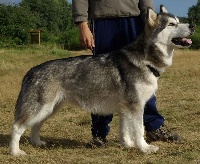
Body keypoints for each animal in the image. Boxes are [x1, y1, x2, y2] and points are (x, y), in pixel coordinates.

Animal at [9, 5, 195, 156]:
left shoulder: (125, 108)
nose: (192, 26)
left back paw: (37, 142)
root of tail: (31, 71)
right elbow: (139, 130)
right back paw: (15, 152)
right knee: (17, 126)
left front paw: (127, 145)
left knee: (35, 126)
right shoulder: (136, 106)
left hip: (49, 109)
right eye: (171, 24)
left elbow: (125, 130)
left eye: (179, 21)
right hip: (41, 108)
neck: (145, 61)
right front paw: (144, 148)